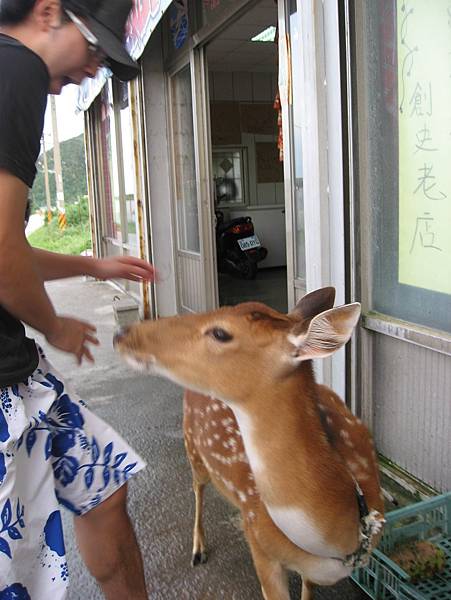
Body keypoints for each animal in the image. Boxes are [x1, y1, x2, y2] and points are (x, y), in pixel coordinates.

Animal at [113, 288, 384, 596]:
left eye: (220, 333)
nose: (121, 333)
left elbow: (307, 590)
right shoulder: (259, 541)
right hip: (192, 445)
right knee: (197, 488)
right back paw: (198, 549)